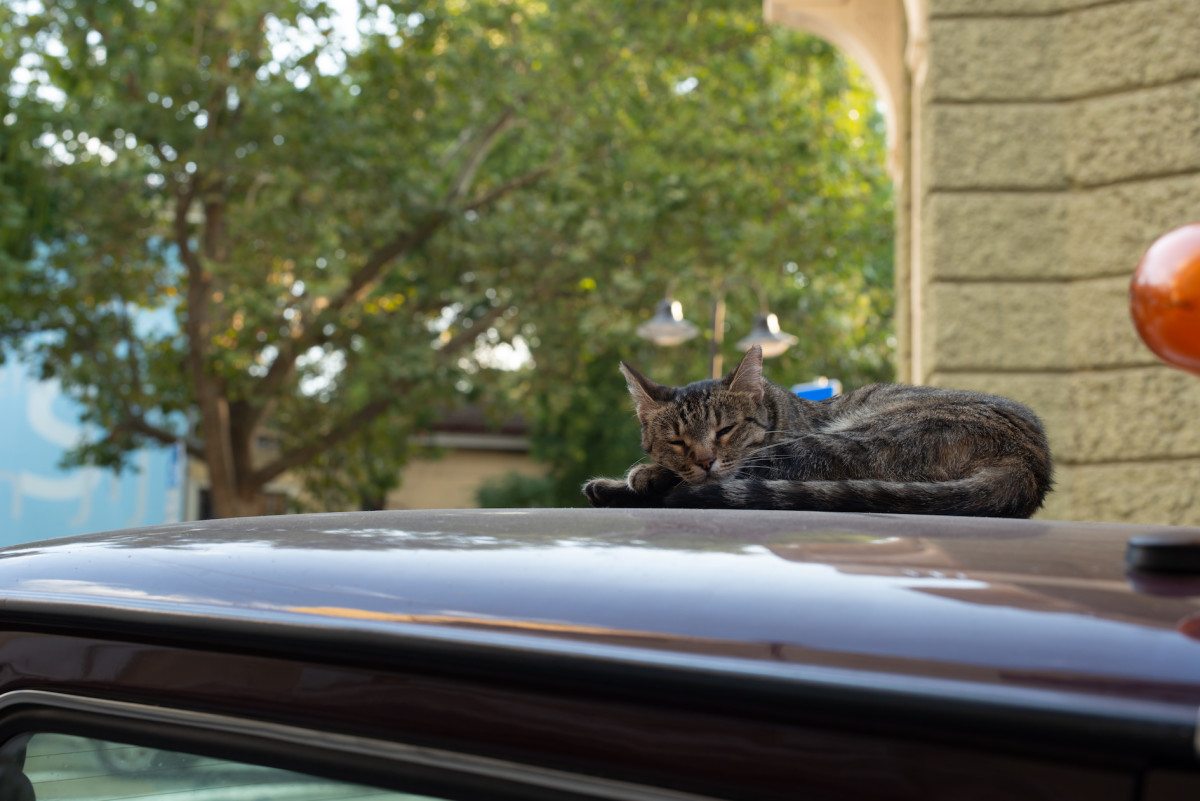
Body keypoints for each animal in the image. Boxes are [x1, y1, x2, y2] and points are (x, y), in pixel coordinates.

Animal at [580, 345, 1051, 520]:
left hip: (841, 442)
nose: (705, 460)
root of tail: (1031, 462)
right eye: (676, 440)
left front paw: (643, 475)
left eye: (726, 429)